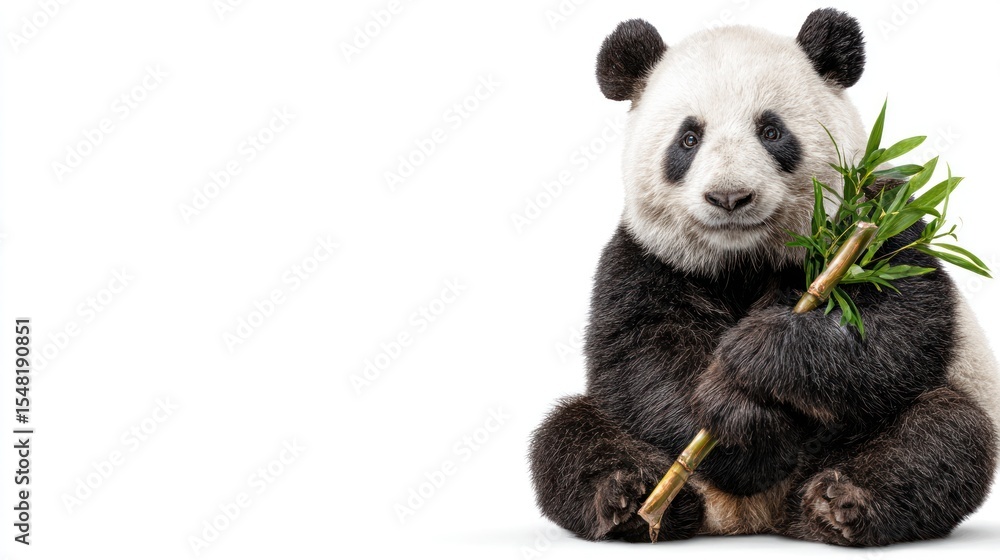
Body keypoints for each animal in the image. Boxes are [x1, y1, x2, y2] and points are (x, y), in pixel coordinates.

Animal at [529, 8, 1000, 546]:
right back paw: (631, 497)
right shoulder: (646, 257)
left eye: (771, 131)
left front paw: (757, 353)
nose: (730, 197)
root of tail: (751, 517)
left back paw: (839, 503)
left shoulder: (877, 230)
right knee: (567, 434)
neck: (743, 260)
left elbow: (896, 329)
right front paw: (739, 432)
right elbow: (641, 355)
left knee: (945, 433)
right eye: (689, 139)